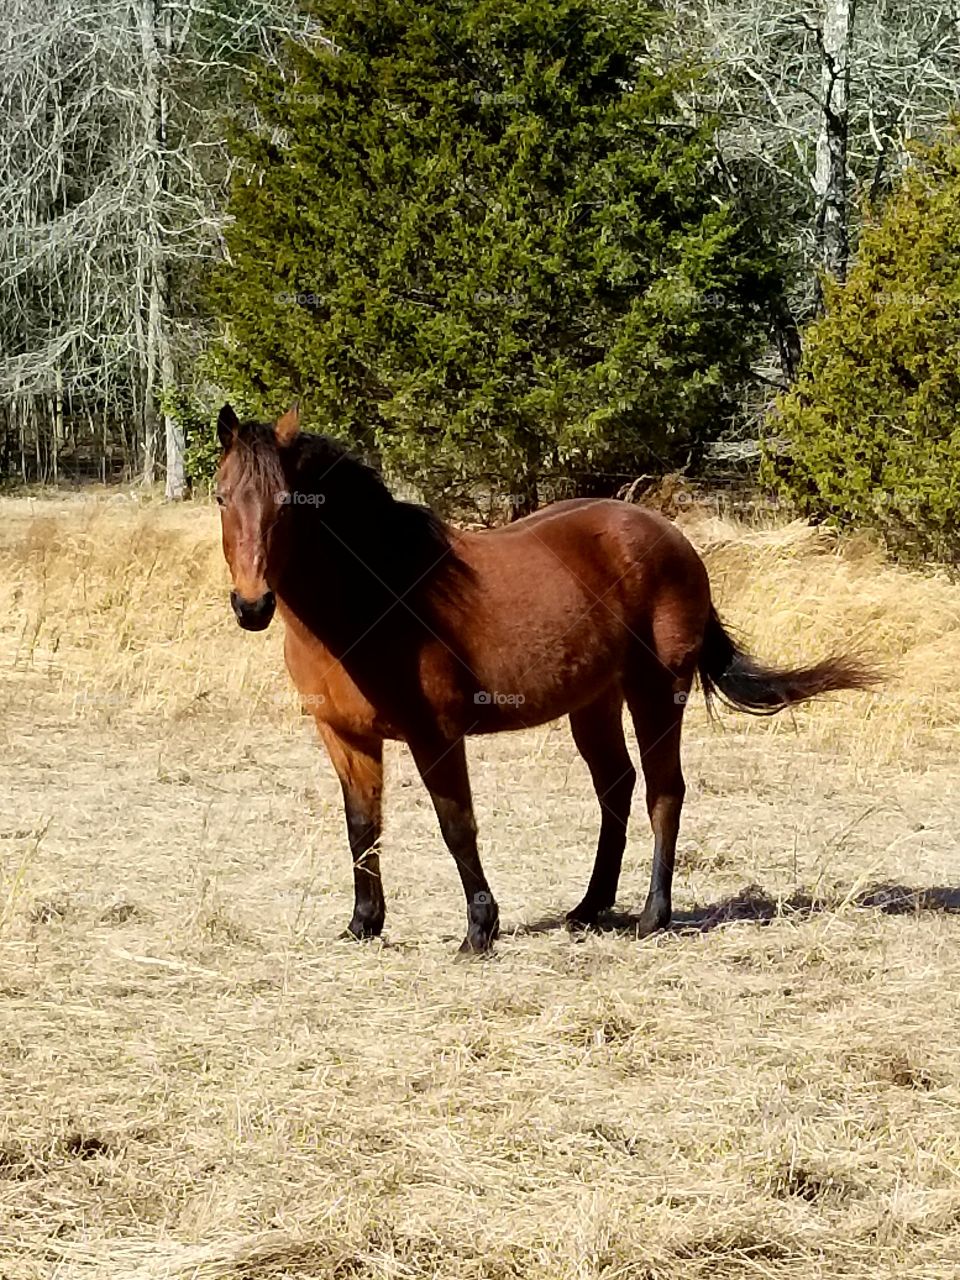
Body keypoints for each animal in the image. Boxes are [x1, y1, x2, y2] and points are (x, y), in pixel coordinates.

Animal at [214, 404, 876, 953]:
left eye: (285, 503)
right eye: (223, 497)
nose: (252, 605)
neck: (377, 596)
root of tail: (671, 537)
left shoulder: (436, 736)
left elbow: (457, 825)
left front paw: (479, 931)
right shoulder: (345, 736)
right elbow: (363, 828)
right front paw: (363, 924)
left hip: (657, 692)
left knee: (664, 791)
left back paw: (652, 917)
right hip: (595, 700)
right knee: (616, 787)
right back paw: (589, 908)